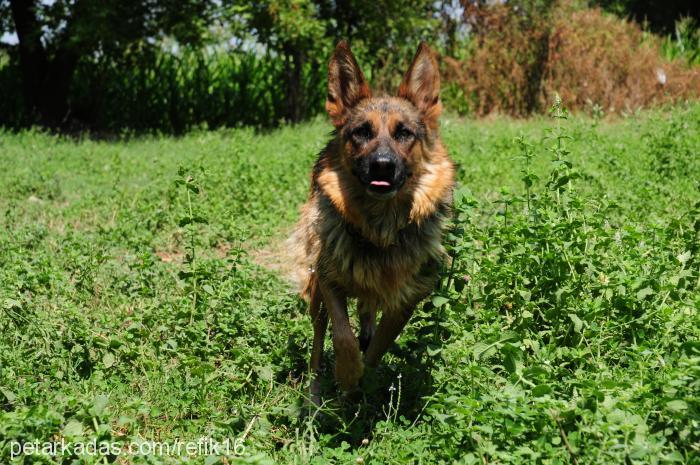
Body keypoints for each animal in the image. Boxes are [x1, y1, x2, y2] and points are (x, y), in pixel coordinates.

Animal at [288, 40, 456, 402]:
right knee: (319, 339)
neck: (379, 229)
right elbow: (342, 335)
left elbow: (379, 346)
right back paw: (315, 391)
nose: (382, 165)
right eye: (361, 132)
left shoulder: (406, 300)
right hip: (317, 295)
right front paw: (348, 374)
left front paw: (363, 377)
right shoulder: (329, 280)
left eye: (404, 133)